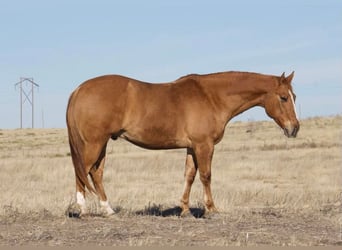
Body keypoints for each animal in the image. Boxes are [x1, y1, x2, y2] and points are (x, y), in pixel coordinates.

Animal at [65, 70, 300, 217]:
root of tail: (78, 90)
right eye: (283, 98)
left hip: (101, 144)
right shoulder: (204, 145)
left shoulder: (192, 147)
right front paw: (211, 209)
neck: (211, 97)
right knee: (82, 171)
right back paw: (84, 210)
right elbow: (206, 175)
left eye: (294, 96)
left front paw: (185, 210)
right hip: (94, 143)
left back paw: (108, 210)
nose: (294, 128)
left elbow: (189, 175)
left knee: (95, 173)